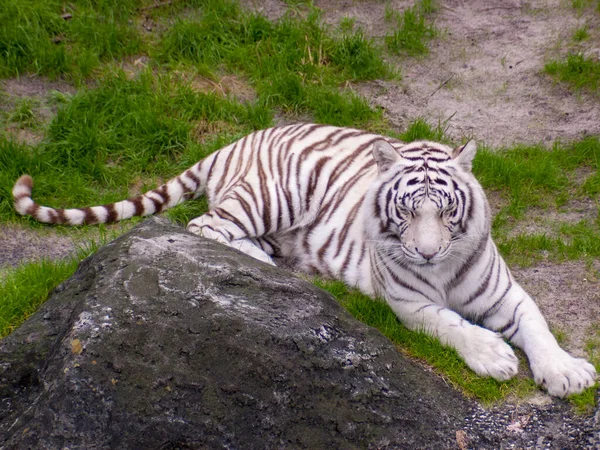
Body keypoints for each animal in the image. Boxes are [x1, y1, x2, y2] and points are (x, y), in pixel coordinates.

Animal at [12, 123, 596, 398]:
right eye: (407, 212)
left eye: (448, 211)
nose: (427, 251)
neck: (444, 268)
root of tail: (237, 140)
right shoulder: (408, 305)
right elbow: (452, 325)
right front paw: (495, 357)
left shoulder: (507, 293)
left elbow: (538, 326)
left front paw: (566, 373)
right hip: (273, 195)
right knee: (206, 227)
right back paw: (270, 267)